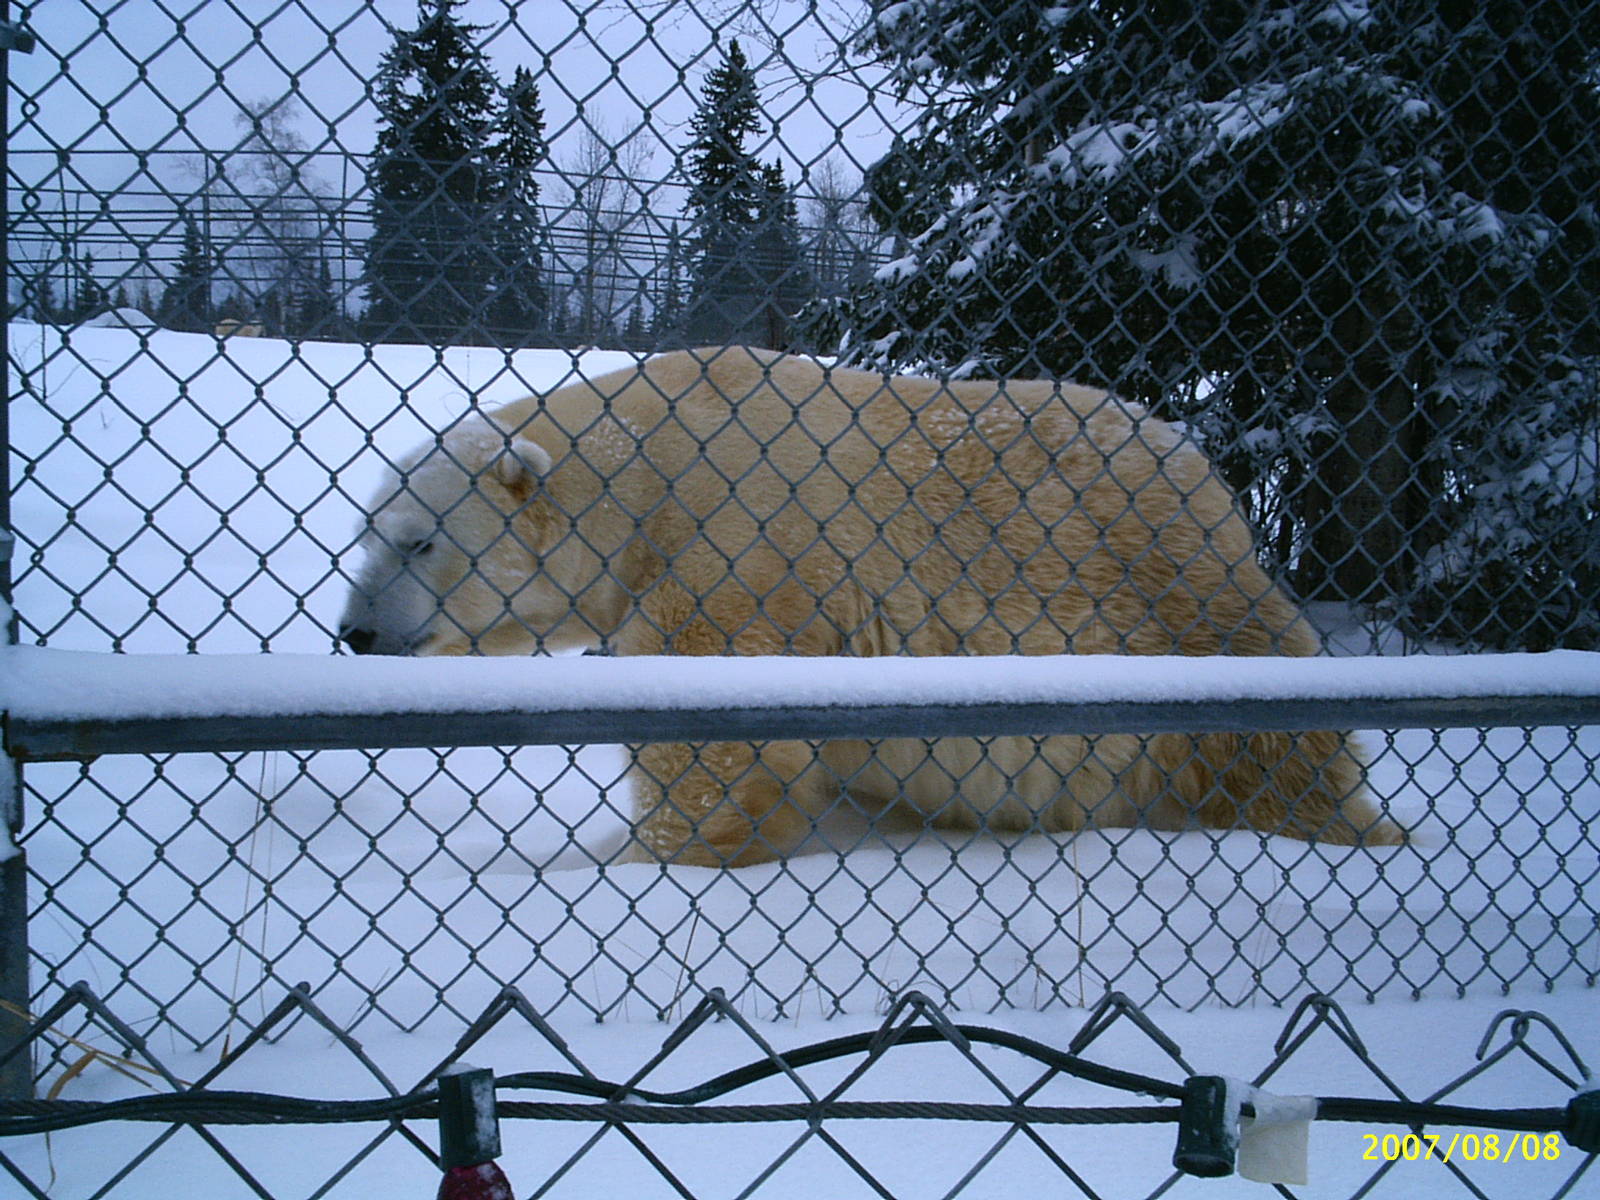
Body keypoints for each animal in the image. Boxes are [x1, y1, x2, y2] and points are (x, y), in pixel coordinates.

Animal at [339, 346, 1402, 865]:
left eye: (421, 539)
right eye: (366, 531)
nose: (356, 632)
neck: (641, 472)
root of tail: (1203, 474)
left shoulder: (735, 549)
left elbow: (709, 747)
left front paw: (649, 866)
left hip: (1176, 593)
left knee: (1271, 742)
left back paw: (1353, 830)